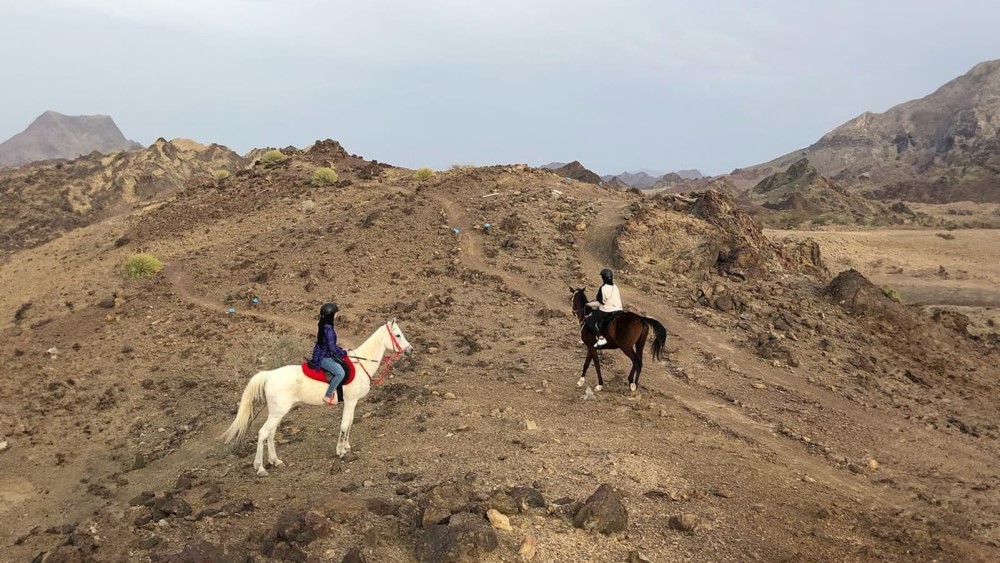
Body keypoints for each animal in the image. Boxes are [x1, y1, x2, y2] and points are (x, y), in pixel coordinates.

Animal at [224, 318, 414, 476]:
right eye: (398, 334)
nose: (410, 350)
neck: (361, 364)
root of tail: (269, 375)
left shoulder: (353, 403)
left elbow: (350, 423)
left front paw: (346, 446)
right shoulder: (350, 401)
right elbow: (344, 425)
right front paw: (341, 451)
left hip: (277, 412)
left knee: (271, 434)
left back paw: (275, 461)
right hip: (278, 412)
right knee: (263, 433)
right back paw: (261, 468)